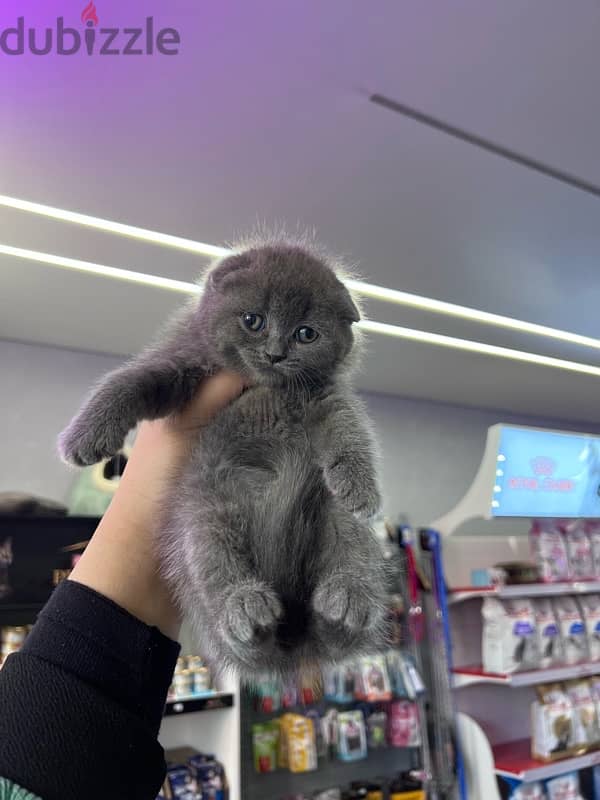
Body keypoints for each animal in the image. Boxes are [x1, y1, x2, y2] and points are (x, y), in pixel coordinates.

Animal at [58, 242, 386, 676]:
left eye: (306, 333)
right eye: (253, 320)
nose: (275, 353)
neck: (265, 387)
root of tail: (293, 636)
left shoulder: (326, 394)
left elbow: (348, 428)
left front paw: (360, 487)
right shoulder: (181, 362)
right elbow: (130, 380)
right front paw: (85, 435)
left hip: (333, 519)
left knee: (349, 563)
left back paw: (346, 602)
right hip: (203, 515)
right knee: (219, 575)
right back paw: (245, 608)